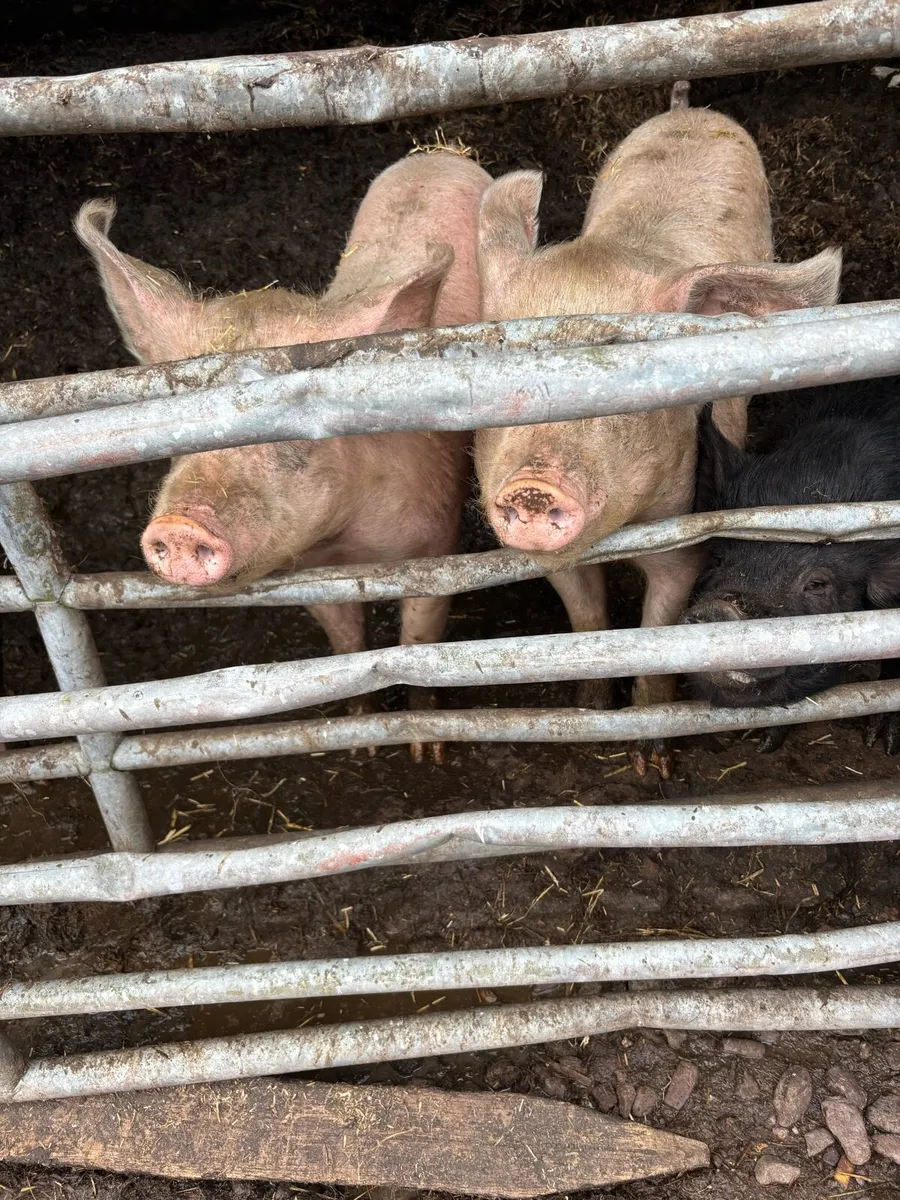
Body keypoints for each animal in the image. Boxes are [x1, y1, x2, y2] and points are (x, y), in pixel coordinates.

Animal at [75, 150, 492, 762]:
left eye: (288, 430)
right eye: (173, 435)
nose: (180, 525)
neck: (347, 544)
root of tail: (438, 154)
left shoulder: (436, 545)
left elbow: (420, 642)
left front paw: (426, 752)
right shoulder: (305, 571)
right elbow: (345, 643)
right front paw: (362, 741)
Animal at [473, 81, 841, 777]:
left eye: (625, 375)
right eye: (481, 363)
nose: (533, 485)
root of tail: (685, 111)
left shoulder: (686, 540)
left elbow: (656, 637)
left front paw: (653, 762)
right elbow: (586, 622)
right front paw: (590, 713)